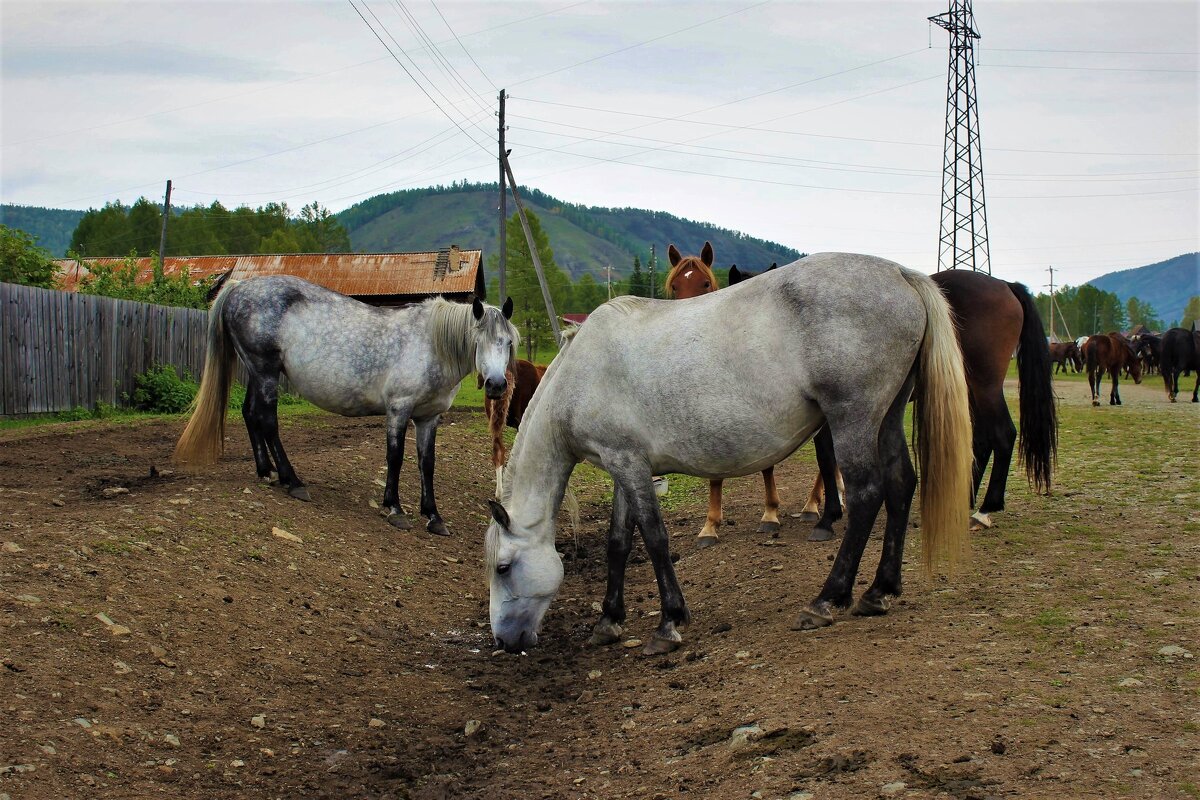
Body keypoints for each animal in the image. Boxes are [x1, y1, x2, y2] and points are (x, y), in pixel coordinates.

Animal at [175, 272, 516, 534]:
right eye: (478, 340)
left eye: (509, 342)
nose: (497, 385)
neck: (430, 344)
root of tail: (239, 287)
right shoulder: (399, 409)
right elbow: (395, 456)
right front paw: (394, 508)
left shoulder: (429, 417)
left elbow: (427, 463)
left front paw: (434, 516)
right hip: (265, 372)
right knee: (267, 420)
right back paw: (292, 481)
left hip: (257, 374)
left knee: (250, 414)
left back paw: (266, 472)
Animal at [484, 253, 974, 652]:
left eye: (503, 568)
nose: (505, 642)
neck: (580, 373)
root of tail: (900, 273)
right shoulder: (625, 464)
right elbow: (620, 541)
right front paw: (609, 620)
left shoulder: (627, 464)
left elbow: (655, 538)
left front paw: (668, 623)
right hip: (888, 417)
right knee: (901, 484)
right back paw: (879, 591)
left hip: (853, 419)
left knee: (867, 494)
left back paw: (825, 600)